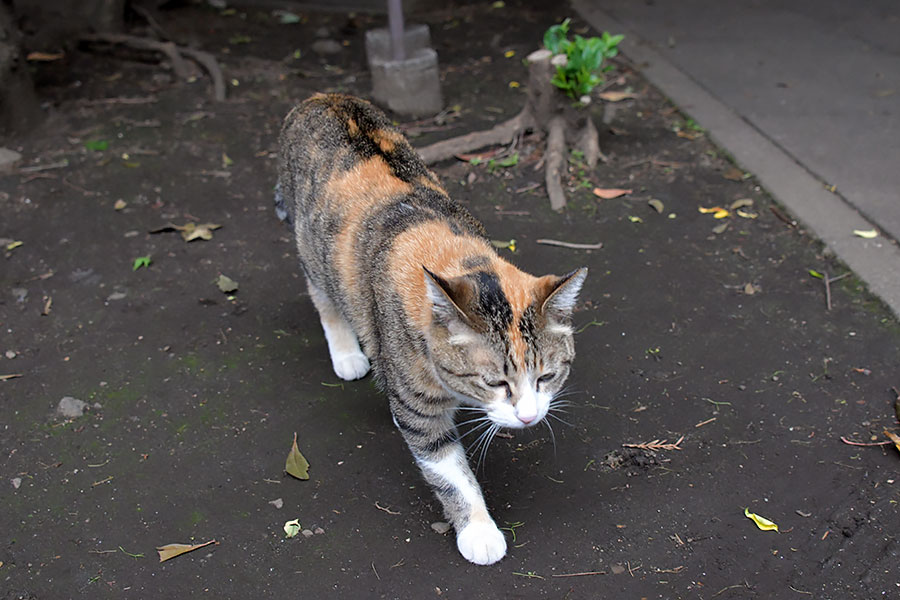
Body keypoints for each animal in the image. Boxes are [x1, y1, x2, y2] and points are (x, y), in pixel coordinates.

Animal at [278, 91, 588, 564]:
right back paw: (347, 353)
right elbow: (448, 470)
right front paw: (479, 531)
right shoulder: (417, 407)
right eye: (496, 382)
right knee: (322, 295)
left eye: (548, 376)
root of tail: (322, 97)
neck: (449, 252)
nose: (529, 417)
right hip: (313, 252)